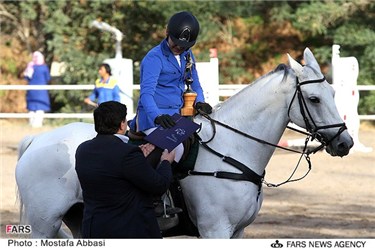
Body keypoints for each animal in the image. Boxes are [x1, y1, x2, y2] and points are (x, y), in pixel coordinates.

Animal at [16, 48, 354, 238]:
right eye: (314, 98)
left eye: (333, 94)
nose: (345, 143)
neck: (232, 150)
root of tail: (37, 141)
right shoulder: (215, 230)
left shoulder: (238, 232)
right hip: (43, 224)